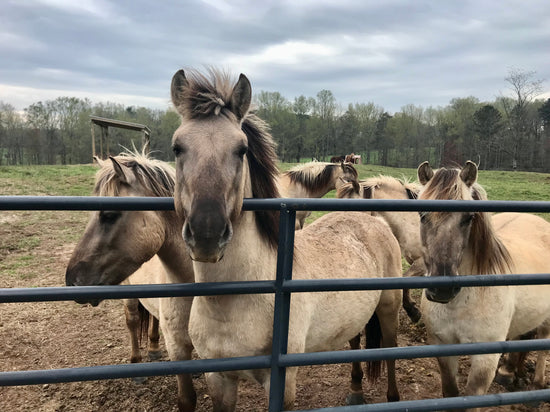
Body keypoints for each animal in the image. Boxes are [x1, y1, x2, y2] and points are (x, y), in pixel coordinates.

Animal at [65, 152, 197, 412]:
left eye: (109, 215)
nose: (72, 280)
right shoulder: (179, 345)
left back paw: (154, 349)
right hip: (129, 294)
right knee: (133, 321)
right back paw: (137, 365)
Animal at [170, 68, 403, 410]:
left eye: (241, 149)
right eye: (177, 147)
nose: (207, 233)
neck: (231, 303)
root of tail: (372, 219)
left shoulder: (281, 381)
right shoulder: (219, 379)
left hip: (388, 307)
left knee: (390, 350)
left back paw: (392, 397)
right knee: (355, 340)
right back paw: (356, 390)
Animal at [417, 160, 550, 410]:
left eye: (469, 218)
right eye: (421, 215)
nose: (442, 289)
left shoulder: (484, 360)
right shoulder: (443, 346)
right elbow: (450, 392)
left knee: (542, 346)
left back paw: (536, 389)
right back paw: (509, 372)